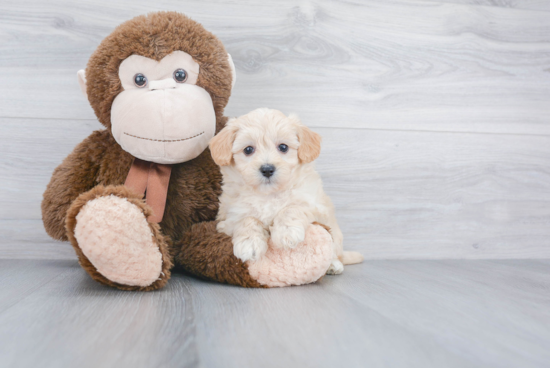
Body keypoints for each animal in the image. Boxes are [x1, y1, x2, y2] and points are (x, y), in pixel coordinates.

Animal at [210, 108, 362, 274]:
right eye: (248, 150)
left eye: (283, 147)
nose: (267, 169)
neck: (268, 195)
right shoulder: (226, 219)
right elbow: (247, 219)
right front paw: (249, 243)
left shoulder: (314, 205)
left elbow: (292, 207)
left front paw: (286, 231)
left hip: (335, 238)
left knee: (335, 252)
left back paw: (334, 265)